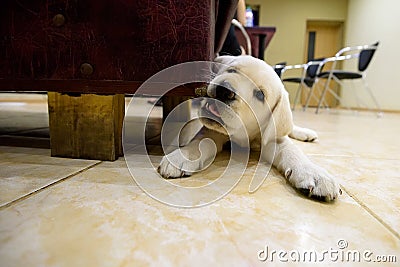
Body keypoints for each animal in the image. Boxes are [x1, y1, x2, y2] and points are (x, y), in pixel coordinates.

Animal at [159, 55, 340, 201]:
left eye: (260, 94)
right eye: (232, 70)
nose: (224, 90)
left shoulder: (272, 137)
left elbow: (291, 150)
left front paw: (314, 173)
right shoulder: (213, 129)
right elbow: (200, 141)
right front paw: (182, 156)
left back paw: (305, 133)